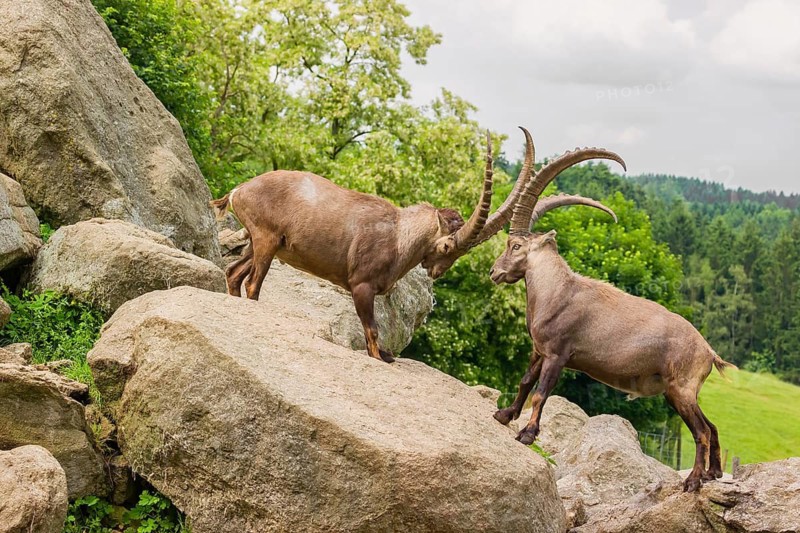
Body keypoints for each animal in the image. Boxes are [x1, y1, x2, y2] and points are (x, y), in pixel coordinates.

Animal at [211, 128, 625, 363]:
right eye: (445, 248)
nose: (436, 272)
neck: (399, 235)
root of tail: (238, 190)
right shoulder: (361, 286)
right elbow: (372, 333)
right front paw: (383, 357)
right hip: (266, 241)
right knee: (253, 283)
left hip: (261, 243)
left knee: (234, 274)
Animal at [488, 171, 736, 492]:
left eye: (515, 246)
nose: (494, 272)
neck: (558, 291)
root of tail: (708, 352)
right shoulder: (539, 351)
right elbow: (525, 381)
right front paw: (504, 414)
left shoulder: (558, 355)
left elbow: (541, 393)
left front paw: (527, 435)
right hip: (681, 393)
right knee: (713, 426)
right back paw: (713, 473)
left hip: (681, 389)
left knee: (702, 431)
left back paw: (693, 481)